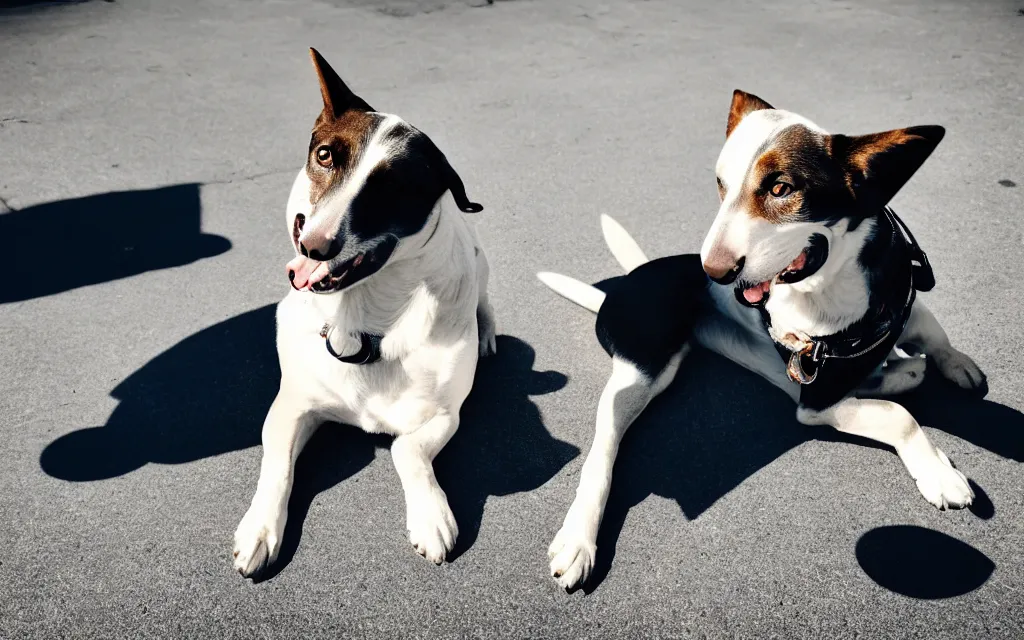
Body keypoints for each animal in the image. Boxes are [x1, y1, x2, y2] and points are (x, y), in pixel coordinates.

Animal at [235, 49, 499, 577]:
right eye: (325, 156)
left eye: (393, 188)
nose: (314, 247)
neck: (360, 323)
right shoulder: (291, 405)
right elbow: (276, 464)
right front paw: (260, 527)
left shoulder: (444, 415)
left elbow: (405, 447)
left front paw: (430, 514)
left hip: (481, 265)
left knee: (484, 304)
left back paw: (486, 334)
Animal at [540, 90, 987, 589]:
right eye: (720, 185)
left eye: (780, 189)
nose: (714, 272)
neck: (837, 289)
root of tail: (625, 283)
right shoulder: (817, 402)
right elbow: (900, 418)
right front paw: (937, 473)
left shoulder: (903, 312)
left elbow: (934, 333)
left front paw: (956, 363)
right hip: (641, 373)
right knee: (604, 449)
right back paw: (579, 538)